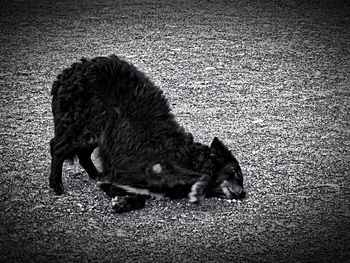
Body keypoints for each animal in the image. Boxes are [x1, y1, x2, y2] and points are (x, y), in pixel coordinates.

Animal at [50, 55, 246, 212]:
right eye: (234, 172)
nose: (244, 193)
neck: (186, 156)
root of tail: (72, 70)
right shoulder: (146, 166)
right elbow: (200, 176)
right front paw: (198, 190)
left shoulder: (125, 178)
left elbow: (139, 196)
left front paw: (122, 203)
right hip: (83, 126)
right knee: (57, 147)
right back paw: (56, 184)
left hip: (98, 133)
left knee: (83, 155)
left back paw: (95, 174)